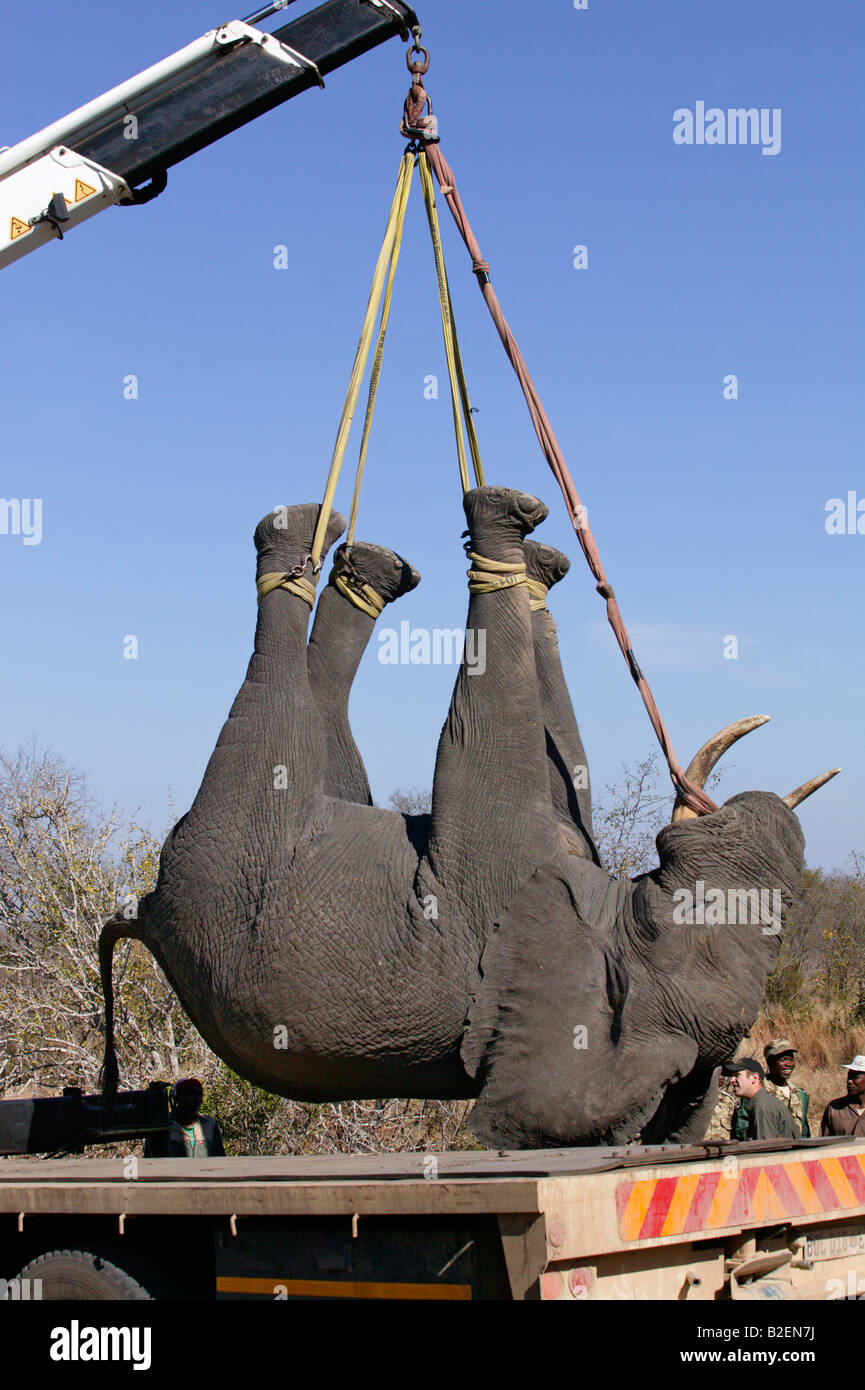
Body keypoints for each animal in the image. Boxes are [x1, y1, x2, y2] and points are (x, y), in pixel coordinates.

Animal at [100, 486, 835, 1147]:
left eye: (656, 923)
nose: (762, 810)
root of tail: (147, 910)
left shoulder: (492, 884)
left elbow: (482, 728)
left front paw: (503, 523)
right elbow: (563, 754)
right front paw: (539, 562)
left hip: (236, 833)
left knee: (281, 702)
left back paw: (308, 530)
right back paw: (364, 560)